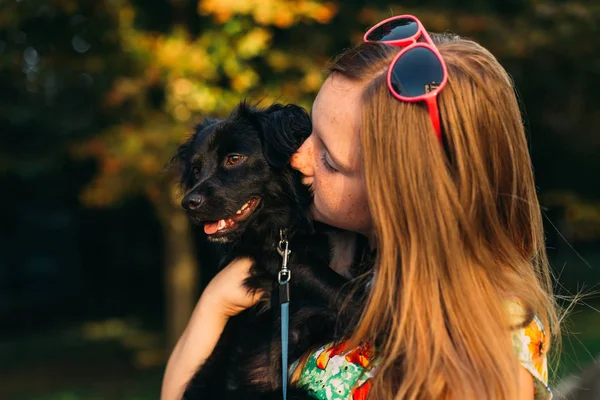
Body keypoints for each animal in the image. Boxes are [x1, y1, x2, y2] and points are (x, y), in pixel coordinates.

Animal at [171, 101, 368, 398]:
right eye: (195, 170)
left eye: (234, 159)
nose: (188, 203)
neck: (291, 222)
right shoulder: (285, 260)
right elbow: (344, 291)